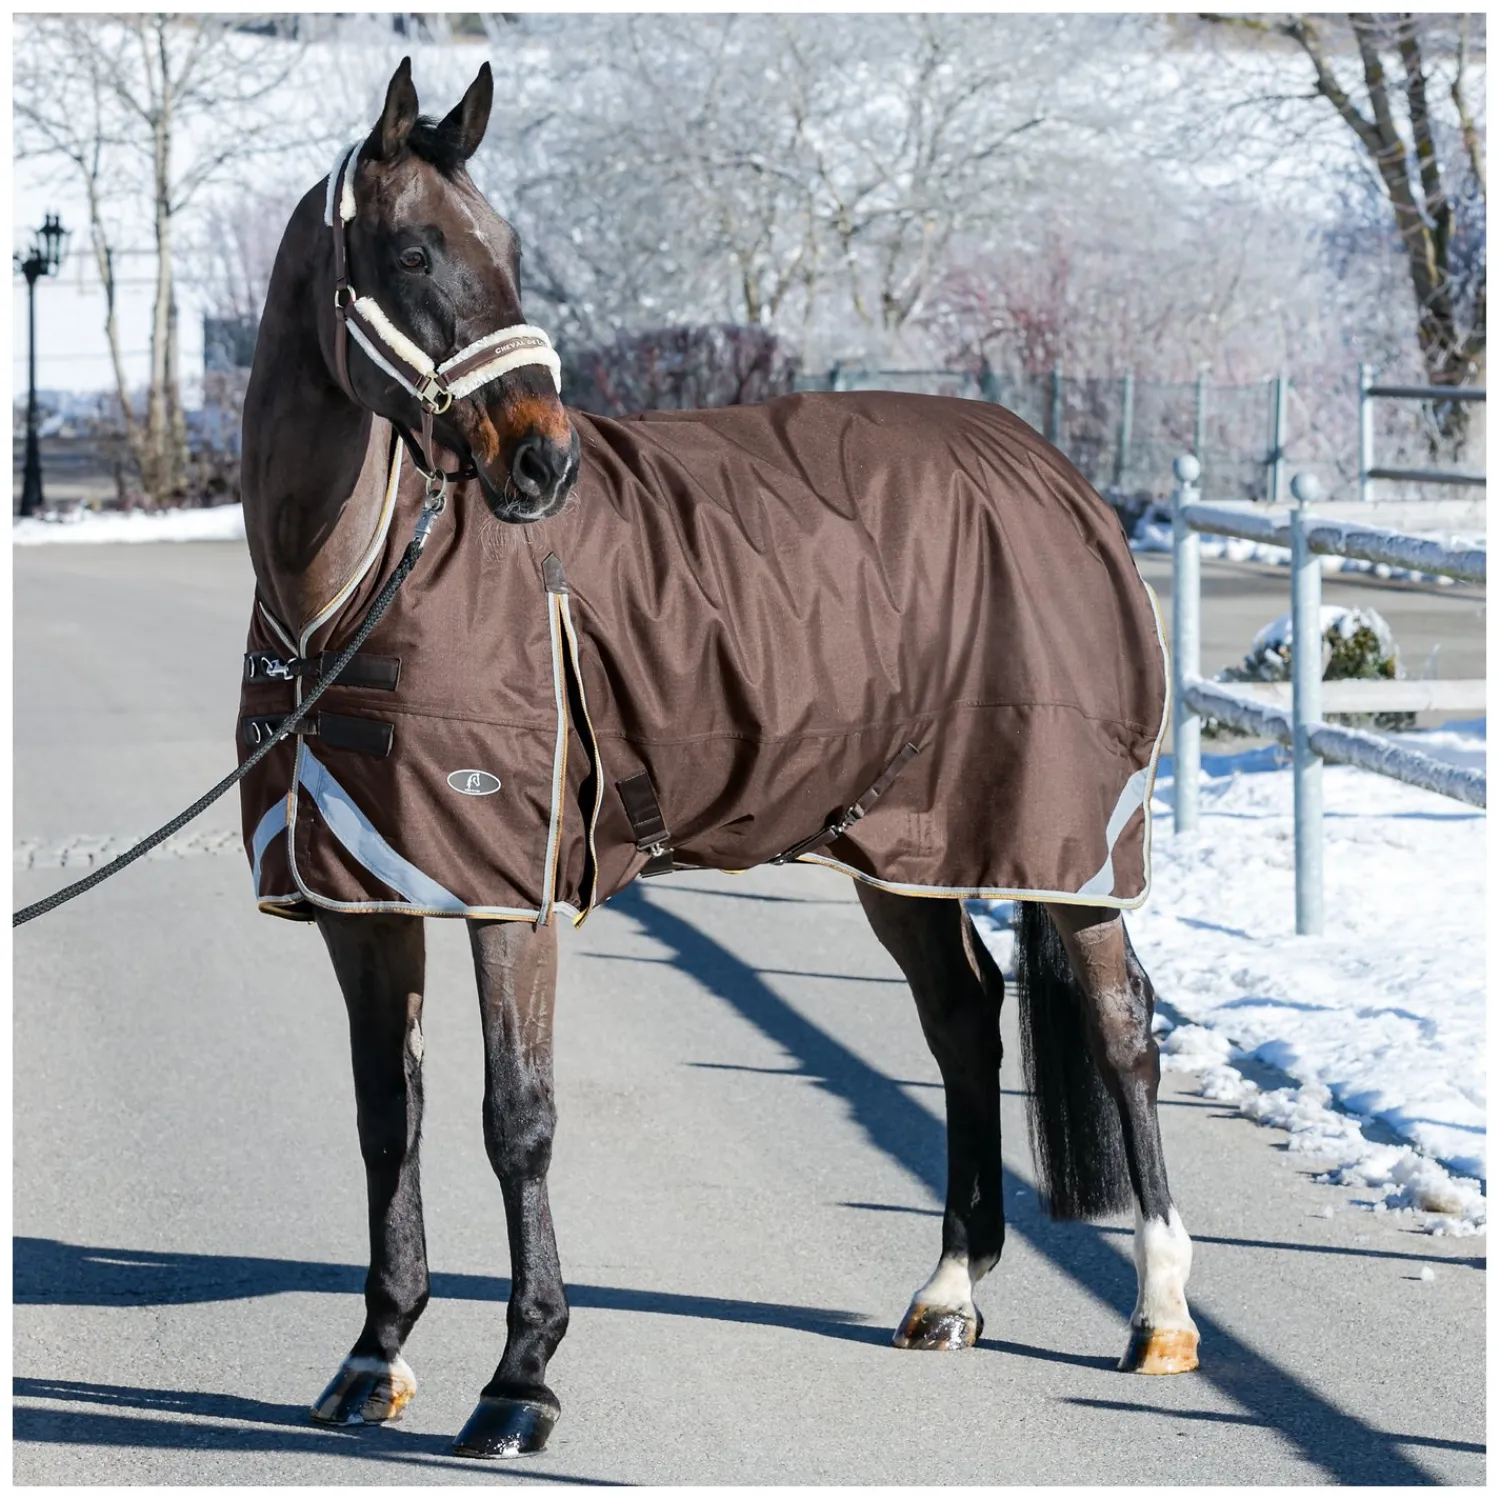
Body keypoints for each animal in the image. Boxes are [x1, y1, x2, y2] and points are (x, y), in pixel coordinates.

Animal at [239, 59, 1199, 1460]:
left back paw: (1160, 1316)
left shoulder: (508, 897)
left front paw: (522, 1379)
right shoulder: (365, 900)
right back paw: (949, 1293)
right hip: (899, 846)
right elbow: (386, 1120)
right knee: (963, 1018)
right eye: (413, 250)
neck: (350, 598)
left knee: (1125, 1031)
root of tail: (1050, 467)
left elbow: (515, 1119)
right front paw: (375, 1358)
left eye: (510, 249)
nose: (545, 460)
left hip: (1062, 843)